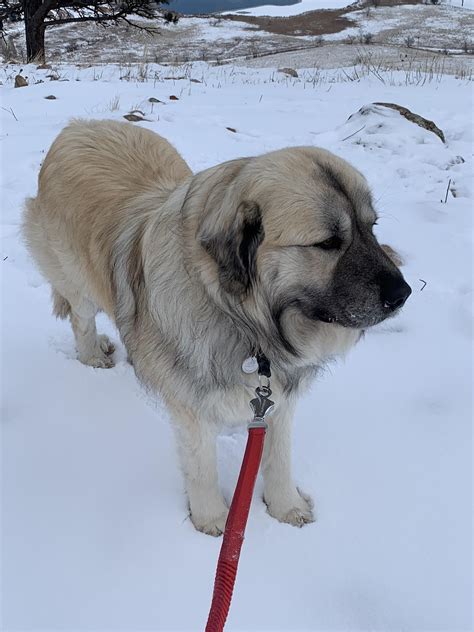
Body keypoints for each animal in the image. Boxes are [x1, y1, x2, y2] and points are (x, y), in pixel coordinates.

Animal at [21, 118, 412, 532]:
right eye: (328, 243)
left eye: (371, 228)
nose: (403, 294)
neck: (246, 321)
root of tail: (80, 125)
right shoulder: (192, 406)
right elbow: (202, 466)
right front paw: (213, 519)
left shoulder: (278, 397)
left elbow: (279, 456)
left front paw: (284, 506)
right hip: (75, 278)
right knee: (81, 317)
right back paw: (93, 354)